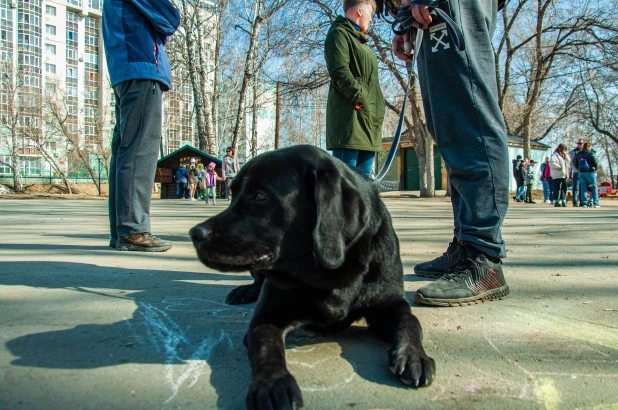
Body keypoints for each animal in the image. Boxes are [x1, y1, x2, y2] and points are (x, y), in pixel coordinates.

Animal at [189, 146, 434, 408]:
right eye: (233, 195)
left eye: (261, 196)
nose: (195, 233)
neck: (329, 275)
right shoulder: (267, 316)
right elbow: (267, 348)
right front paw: (272, 383)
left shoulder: (389, 303)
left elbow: (410, 321)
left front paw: (413, 355)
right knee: (258, 280)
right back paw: (244, 291)